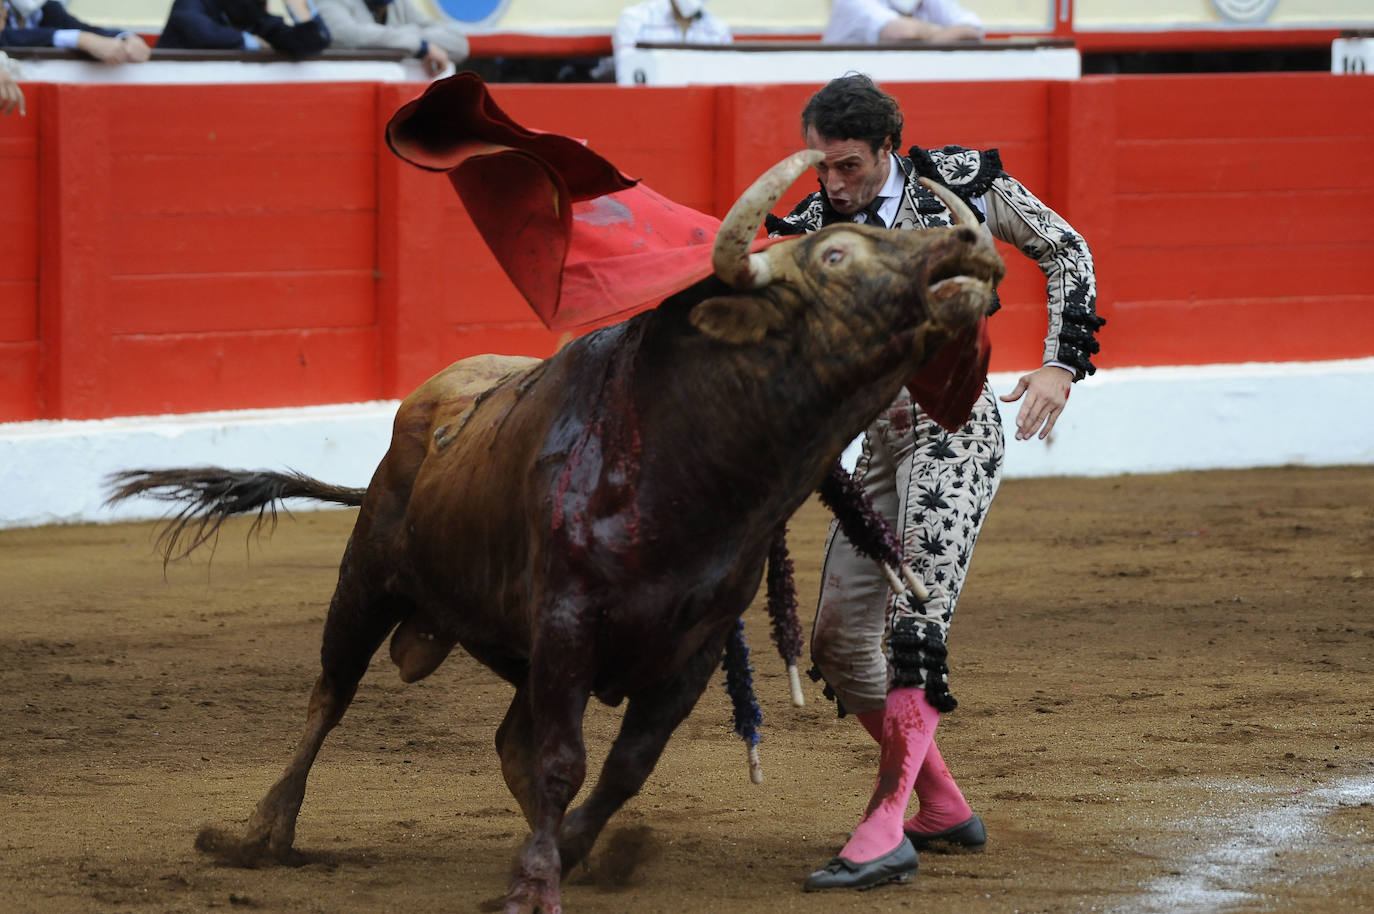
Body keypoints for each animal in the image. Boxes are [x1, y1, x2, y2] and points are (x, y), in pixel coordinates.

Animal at [107, 151, 1005, 912]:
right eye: (836, 256)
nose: (967, 240)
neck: (692, 466)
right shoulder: (569, 620)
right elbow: (563, 759)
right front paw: (537, 883)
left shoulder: (691, 649)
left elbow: (621, 765)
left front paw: (561, 857)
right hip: (366, 581)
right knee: (331, 695)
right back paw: (263, 832)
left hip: (506, 639)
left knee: (507, 737)